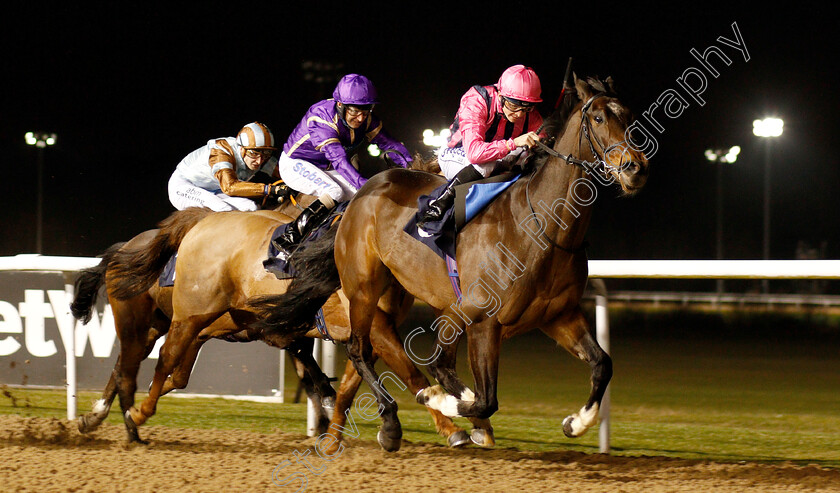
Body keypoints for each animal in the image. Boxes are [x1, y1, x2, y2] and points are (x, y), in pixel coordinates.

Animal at [249, 75, 648, 452]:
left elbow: (602, 364)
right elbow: (482, 397)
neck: (541, 226)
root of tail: (362, 192)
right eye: (598, 118)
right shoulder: (480, 319)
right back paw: (393, 423)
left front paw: (576, 423)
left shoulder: (558, 316)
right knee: (359, 351)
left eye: (628, 116)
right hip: (363, 289)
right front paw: (448, 404)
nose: (635, 169)